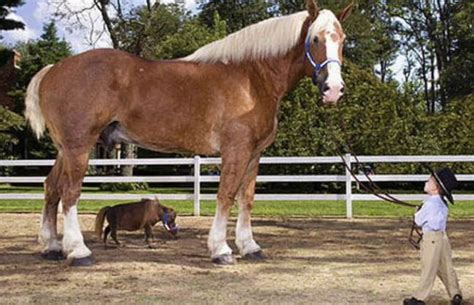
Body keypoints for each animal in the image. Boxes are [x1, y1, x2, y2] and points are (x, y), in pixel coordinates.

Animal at [25, 0, 352, 264]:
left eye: (343, 40)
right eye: (315, 38)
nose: (333, 89)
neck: (251, 78)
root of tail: (53, 70)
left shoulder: (254, 154)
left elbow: (246, 199)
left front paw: (250, 247)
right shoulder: (236, 151)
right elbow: (226, 195)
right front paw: (221, 250)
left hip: (65, 149)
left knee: (51, 188)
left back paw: (51, 247)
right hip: (79, 146)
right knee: (69, 192)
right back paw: (78, 251)